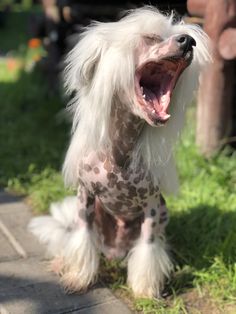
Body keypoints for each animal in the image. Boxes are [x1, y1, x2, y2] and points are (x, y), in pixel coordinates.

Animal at [28, 6, 211, 298]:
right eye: (150, 37)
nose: (188, 41)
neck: (119, 153)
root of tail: (114, 252)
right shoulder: (85, 198)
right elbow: (82, 238)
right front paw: (78, 278)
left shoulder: (151, 207)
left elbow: (148, 249)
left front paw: (145, 290)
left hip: (163, 213)